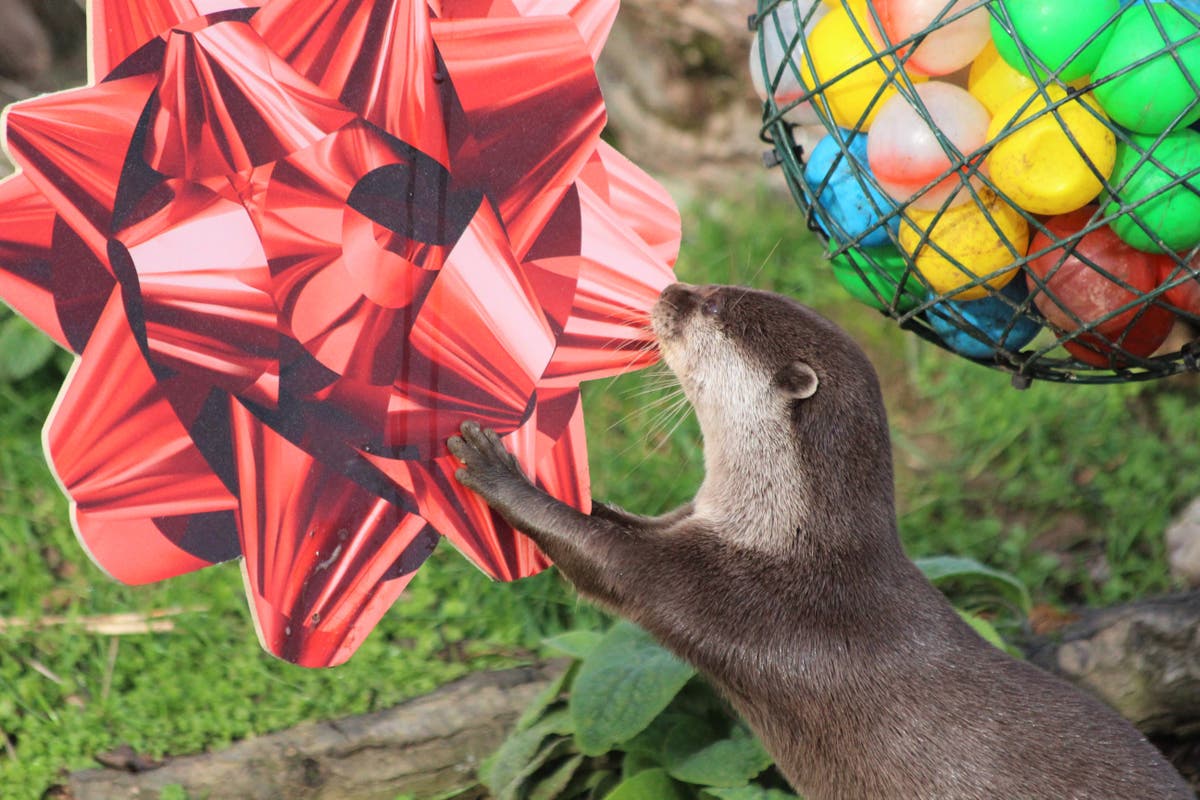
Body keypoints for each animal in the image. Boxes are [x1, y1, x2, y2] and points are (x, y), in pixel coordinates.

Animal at [447, 283, 1193, 799]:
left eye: (711, 307)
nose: (668, 289)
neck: (784, 536)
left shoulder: (724, 592)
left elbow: (598, 562)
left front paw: (496, 469)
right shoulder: (689, 528)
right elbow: (612, 521)